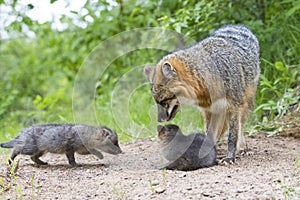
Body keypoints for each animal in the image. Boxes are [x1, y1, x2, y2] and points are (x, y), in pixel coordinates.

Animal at [144, 24, 258, 163]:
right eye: (157, 102)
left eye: (164, 101)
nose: (159, 120)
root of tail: (237, 26)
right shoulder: (208, 110)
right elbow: (209, 134)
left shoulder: (233, 107)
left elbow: (233, 135)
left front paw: (230, 156)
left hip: (245, 106)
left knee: (240, 129)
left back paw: (242, 149)